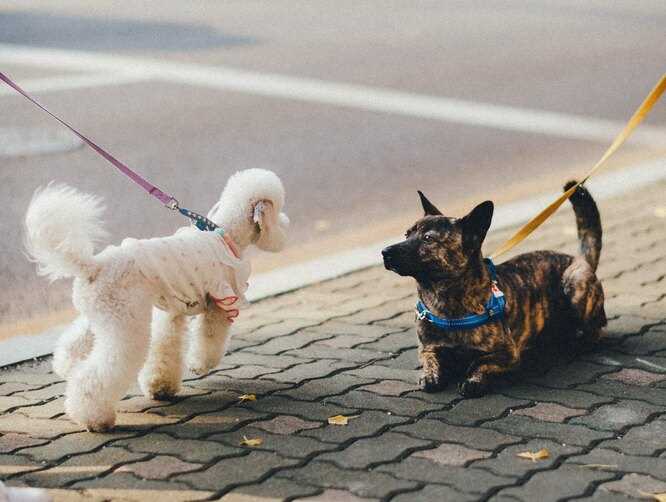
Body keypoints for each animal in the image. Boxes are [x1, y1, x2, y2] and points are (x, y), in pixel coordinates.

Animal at [24, 169, 288, 432]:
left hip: (103, 316)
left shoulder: (171, 310)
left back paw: (66, 366)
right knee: (96, 375)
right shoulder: (221, 302)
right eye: (277, 208)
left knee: (74, 344)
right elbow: (210, 338)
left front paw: (160, 386)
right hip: (125, 323)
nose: (286, 223)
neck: (225, 233)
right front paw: (200, 365)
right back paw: (95, 419)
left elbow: (165, 346)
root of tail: (93, 266)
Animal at [382, 182, 604, 398]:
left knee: (595, 330)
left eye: (428, 238)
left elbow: (481, 361)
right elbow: (430, 359)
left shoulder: (508, 353)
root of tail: (580, 259)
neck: (445, 300)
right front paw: (430, 375)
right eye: (406, 234)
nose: (385, 252)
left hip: (574, 284)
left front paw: (473, 379)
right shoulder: (428, 348)